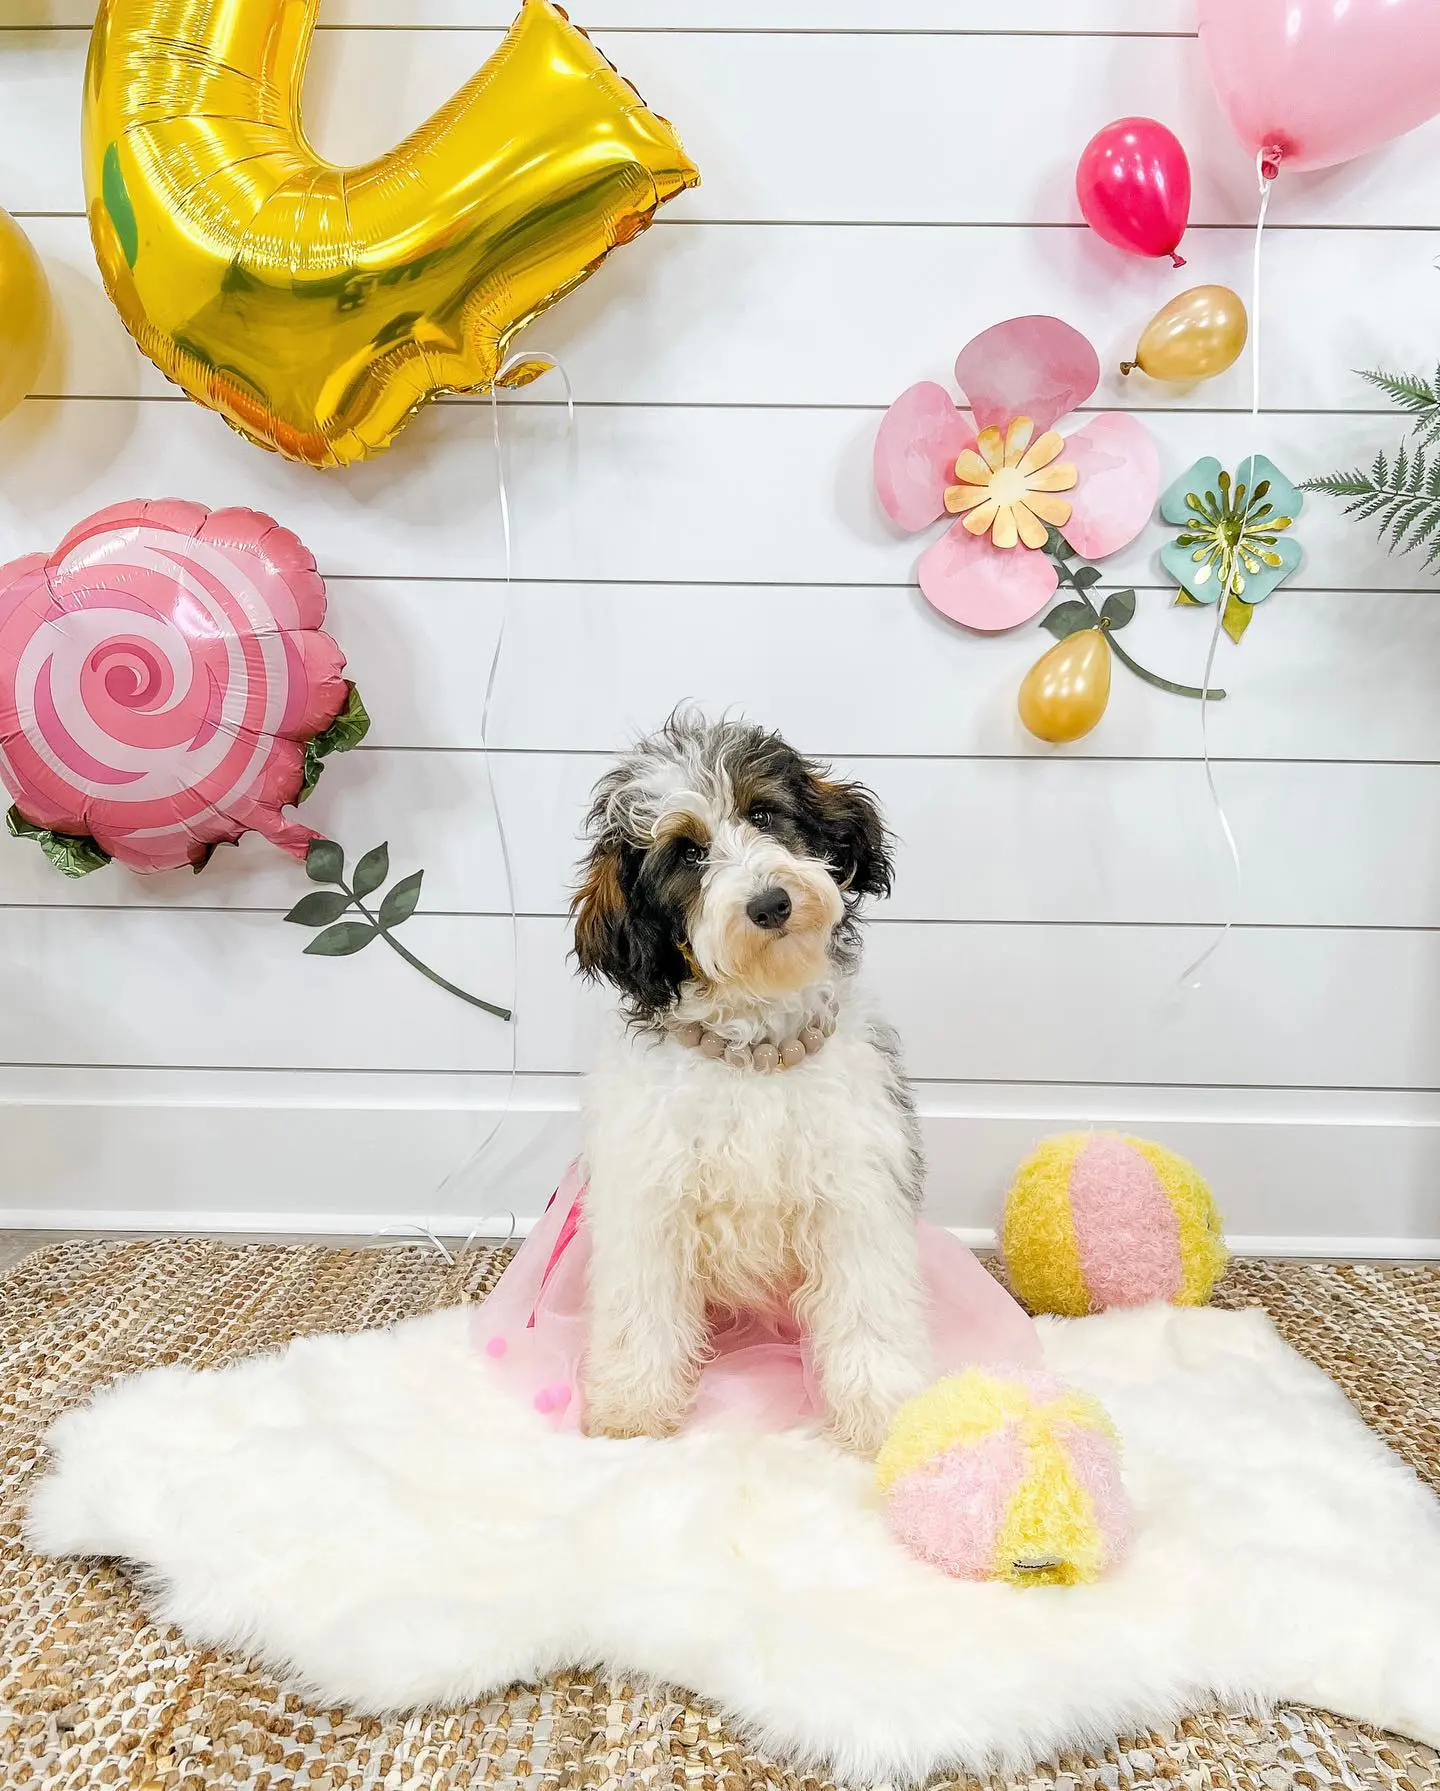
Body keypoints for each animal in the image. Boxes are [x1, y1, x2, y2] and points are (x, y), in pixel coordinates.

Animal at [573, 705, 931, 1447]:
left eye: (763, 813)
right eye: (687, 854)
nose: (770, 904)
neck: (755, 1050)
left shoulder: (857, 1192)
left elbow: (870, 1306)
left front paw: (886, 1412)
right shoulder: (646, 1201)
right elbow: (641, 1309)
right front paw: (632, 1410)